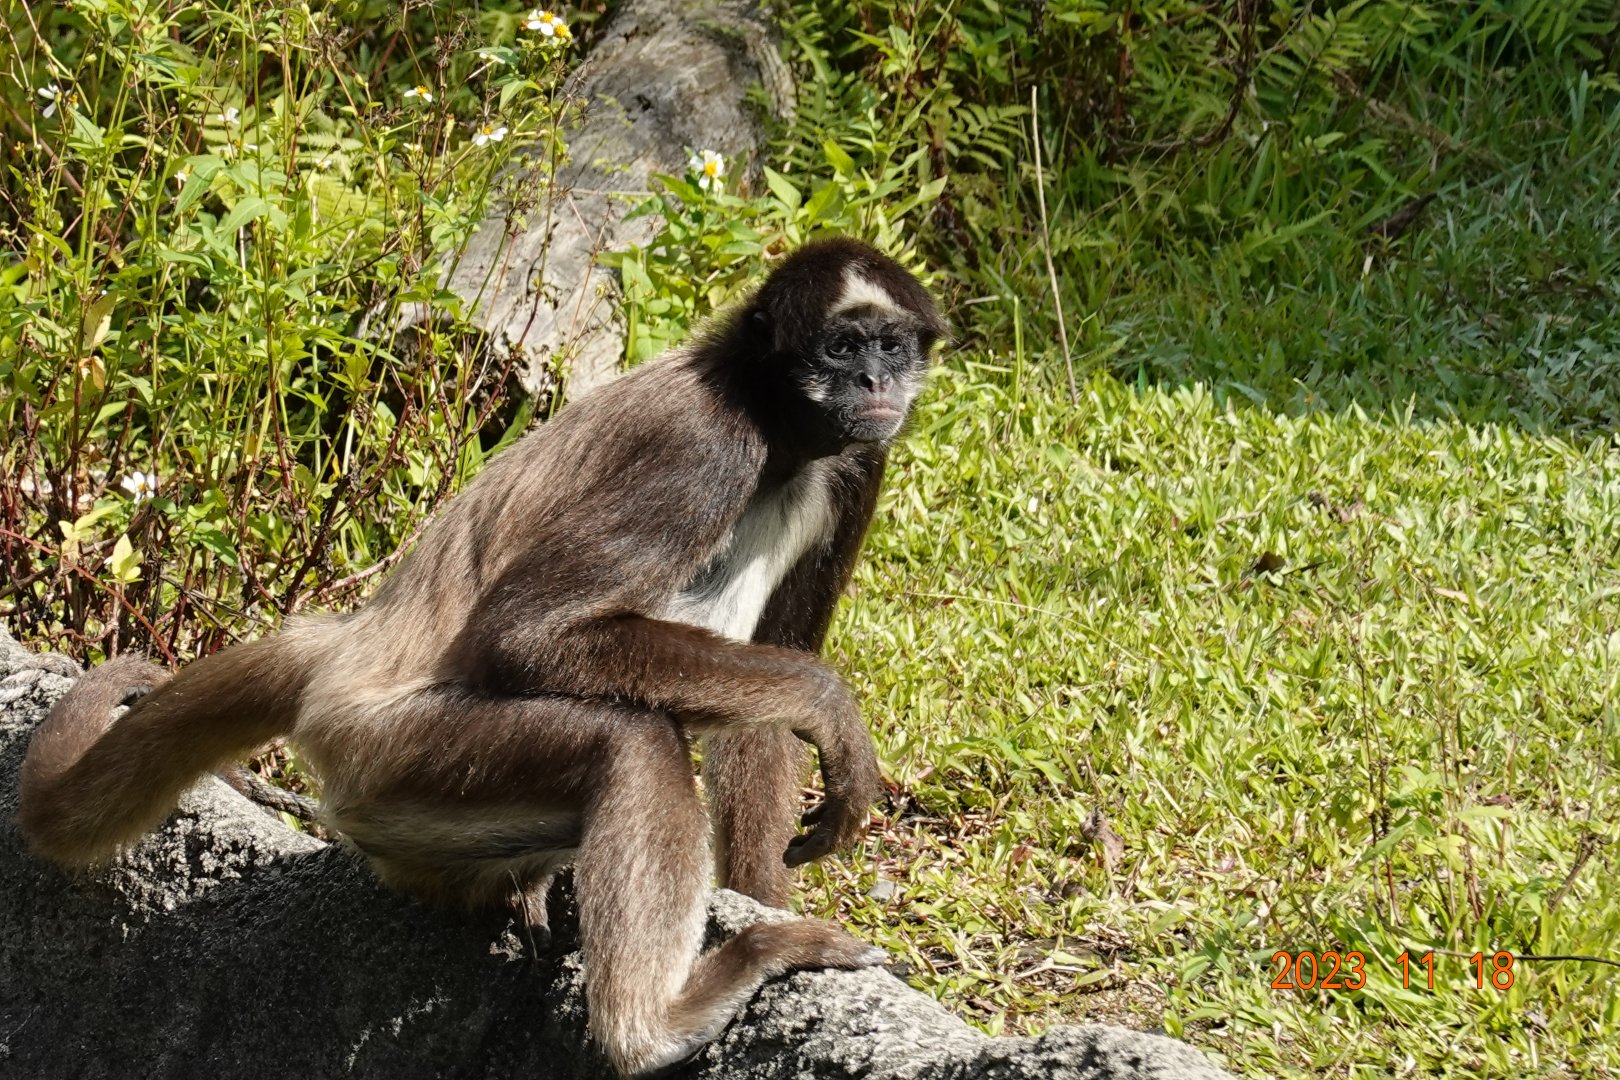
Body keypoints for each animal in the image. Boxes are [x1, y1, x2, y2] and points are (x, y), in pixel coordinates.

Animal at [18, 237, 946, 1076]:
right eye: (840, 348)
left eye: (892, 347)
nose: (877, 384)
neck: (774, 432)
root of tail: (346, 648)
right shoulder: (705, 446)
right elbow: (533, 636)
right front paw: (831, 708)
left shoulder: (859, 458)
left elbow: (777, 668)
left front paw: (757, 897)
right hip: (394, 756)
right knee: (631, 740)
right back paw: (652, 1031)